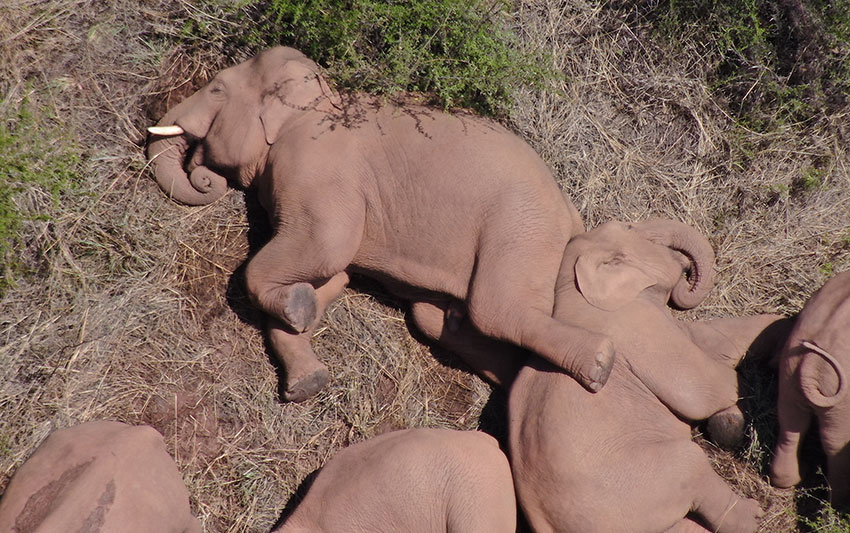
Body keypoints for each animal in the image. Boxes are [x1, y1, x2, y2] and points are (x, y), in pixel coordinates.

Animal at [147, 48, 708, 400]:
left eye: (216, 89)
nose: (202, 175)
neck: (319, 99)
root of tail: (571, 213)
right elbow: (334, 274)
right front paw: (307, 369)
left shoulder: (317, 166)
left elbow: (327, 248)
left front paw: (297, 308)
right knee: (437, 319)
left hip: (519, 226)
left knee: (497, 310)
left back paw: (598, 365)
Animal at [504, 217, 788, 532]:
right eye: (629, 227)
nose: (685, 269)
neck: (572, 288)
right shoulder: (640, 328)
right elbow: (705, 389)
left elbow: (714, 339)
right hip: (646, 483)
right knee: (691, 463)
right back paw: (757, 514)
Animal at [768, 270, 848, 508]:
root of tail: (810, 362)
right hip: (841, 400)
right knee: (834, 442)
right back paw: (839, 504)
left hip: (789, 372)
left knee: (790, 423)